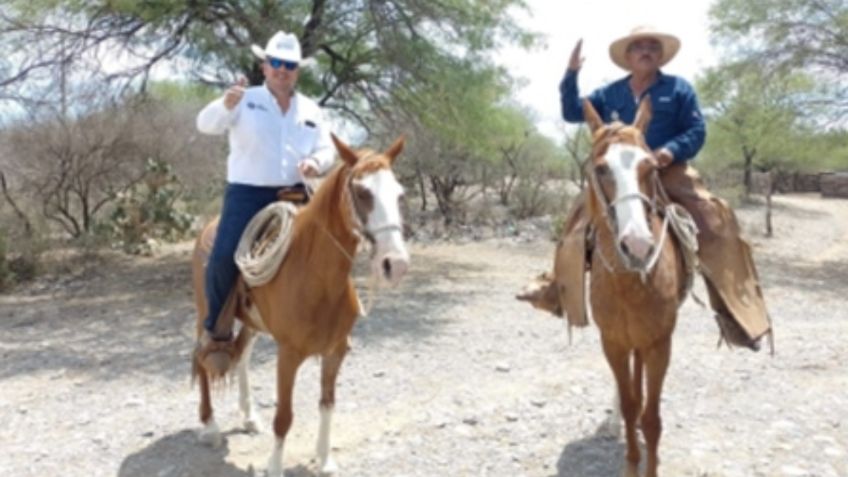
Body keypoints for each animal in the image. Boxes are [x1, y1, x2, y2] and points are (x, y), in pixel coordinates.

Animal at [188, 132, 410, 474]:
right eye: (362, 192)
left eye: (399, 194)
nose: (395, 264)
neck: (317, 279)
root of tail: (208, 228)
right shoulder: (288, 354)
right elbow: (284, 417)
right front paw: (275, 467)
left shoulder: (335, 352)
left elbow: (327, 404)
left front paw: (325, 460)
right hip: (206, 313)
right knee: (203, 357)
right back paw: (210, 426)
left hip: (252, 323)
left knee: (243, 357)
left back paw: (249, 417)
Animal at [584, 97, 688, 476]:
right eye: (601, 168)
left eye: (651, 167)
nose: (638, 246)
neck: (627, 285)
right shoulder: (612, 343)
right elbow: (630, 407)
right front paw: (630, 462)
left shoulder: (660, 344)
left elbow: (652, 418)